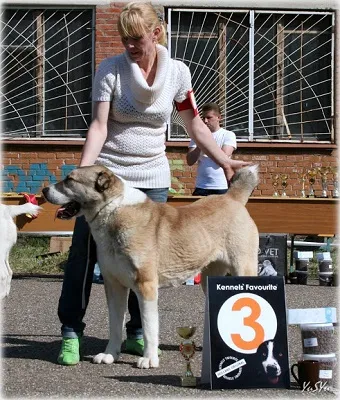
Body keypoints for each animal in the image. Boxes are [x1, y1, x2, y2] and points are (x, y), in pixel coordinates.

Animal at [43, 165, 260, 368]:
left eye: (70, 180)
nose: (44, 190)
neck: (114, 210)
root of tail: (232, 198)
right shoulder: (114, 286)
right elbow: (115, 325)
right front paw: (110, 354)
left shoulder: (145, 286)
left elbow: (148, 327)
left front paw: (149, 359)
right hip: (209, 279)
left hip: (243, 268)